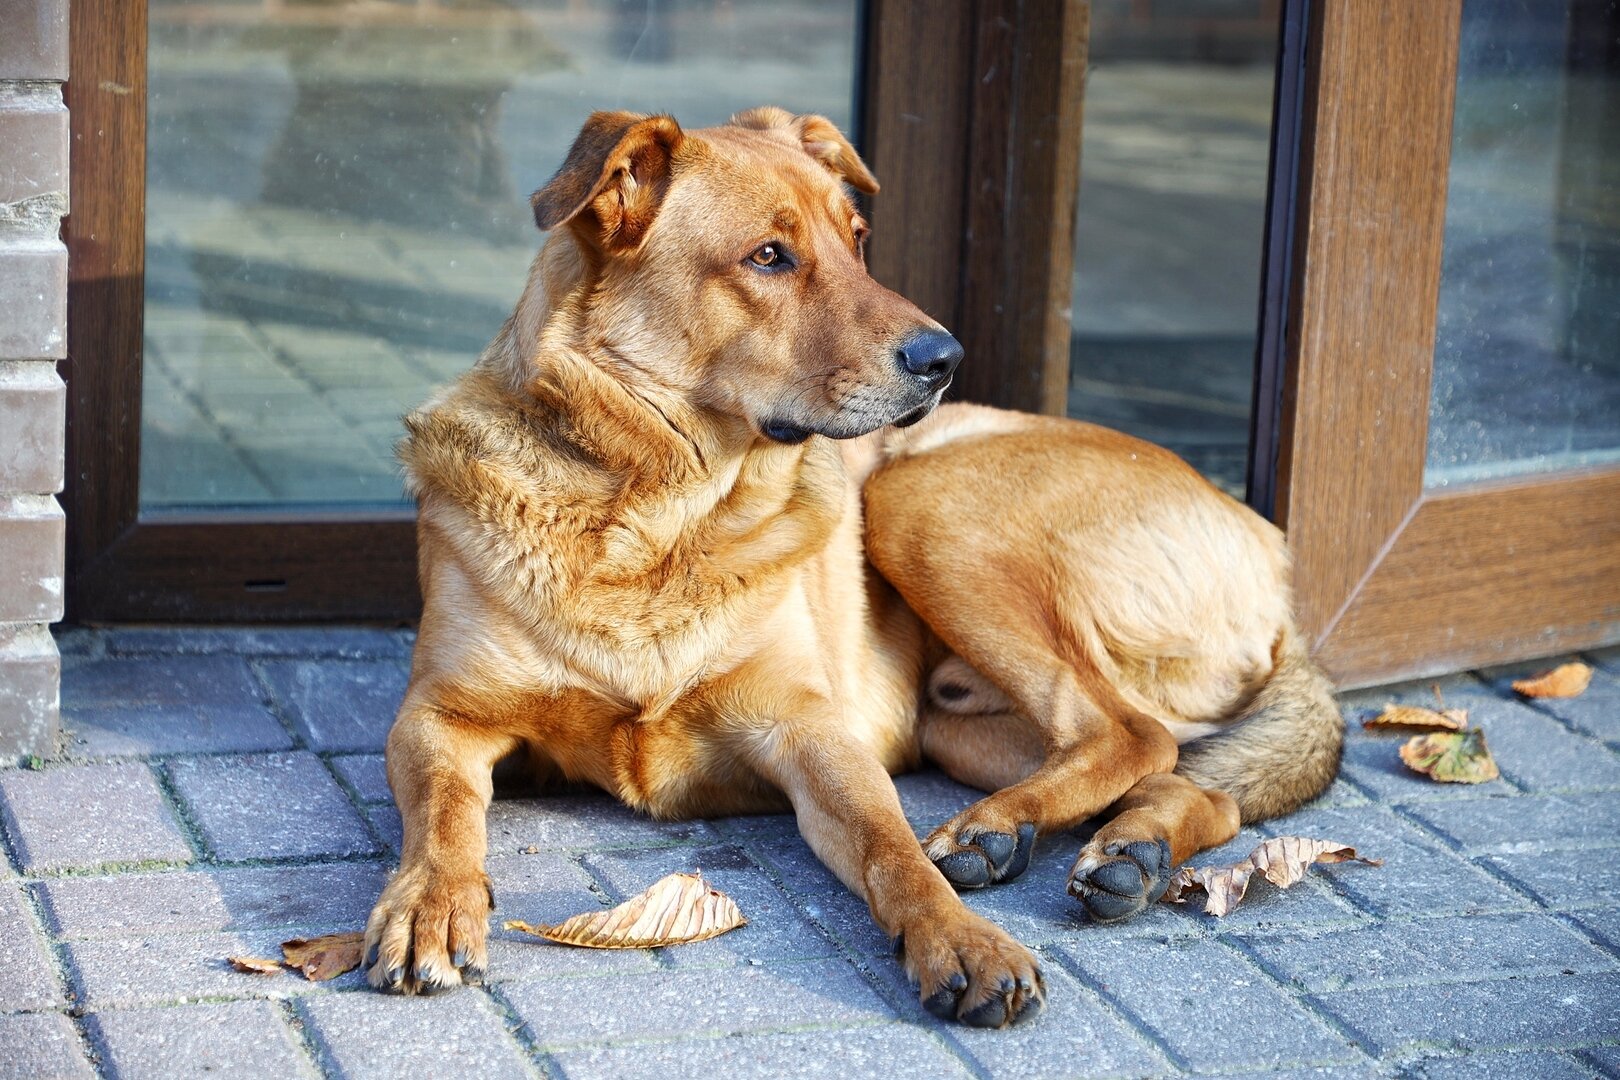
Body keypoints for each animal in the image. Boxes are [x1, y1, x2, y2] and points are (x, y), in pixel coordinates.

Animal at [364, 105, 1341, 1029]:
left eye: (858, 239)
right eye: (768, 256)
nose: (946, 359)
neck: (659, 515)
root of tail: (1274, 552)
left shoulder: (808, 729)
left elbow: (893, 848)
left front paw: (961, 940)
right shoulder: (439, 717)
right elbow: (443, 819)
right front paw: (429, 907)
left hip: (922, 504)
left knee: (1132, 733)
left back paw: (1002, 833)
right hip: (961, 711)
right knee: (1188, 775)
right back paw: (1128, 850)